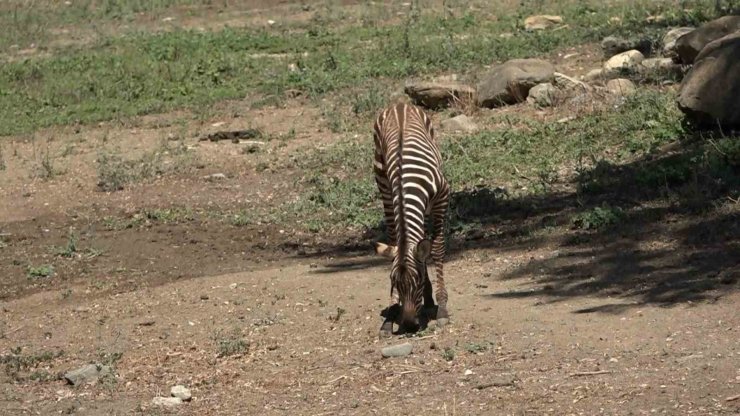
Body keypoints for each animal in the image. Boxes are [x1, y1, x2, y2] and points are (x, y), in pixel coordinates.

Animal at [372, 102, 450, 337]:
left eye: (418, 282)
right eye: (393, 284)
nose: (408, 326)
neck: (405, 185)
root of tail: (399, 104)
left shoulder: (442, 197)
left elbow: (437, 249)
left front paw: (442, 310)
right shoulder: (391, 199)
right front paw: (390, 316)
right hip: (382, 184)